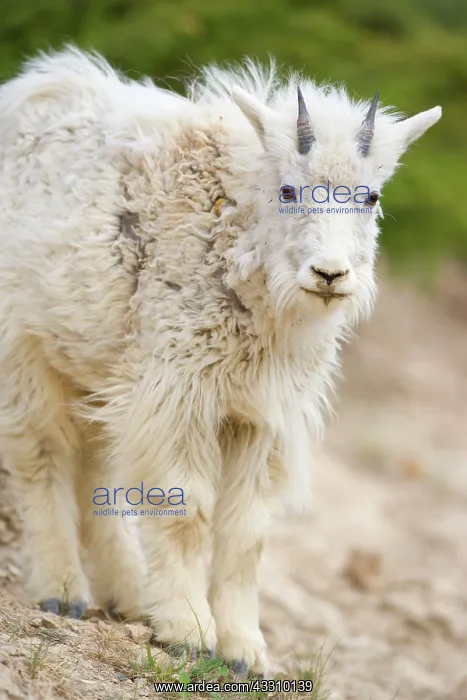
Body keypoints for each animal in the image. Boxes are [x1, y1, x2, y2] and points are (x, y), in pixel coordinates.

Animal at [0, 46, 441, 675]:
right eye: (289, 191)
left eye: (371, 196)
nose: (330, 275)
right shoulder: (180, 389)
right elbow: (185, 509)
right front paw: (188, 632)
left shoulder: (258, 415)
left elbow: (246, 530)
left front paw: (243, 650)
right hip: (27, 347)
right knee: (43, 455)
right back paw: (63, 591)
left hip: (100, 361)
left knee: (96, 467)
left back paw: (129, 595)